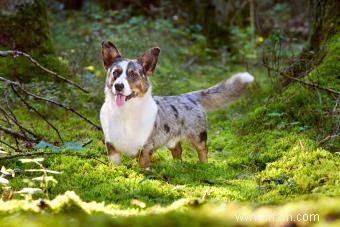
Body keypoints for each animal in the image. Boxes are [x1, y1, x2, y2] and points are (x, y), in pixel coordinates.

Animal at [99, 40, 254, 169]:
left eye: (133, 75)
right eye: (115, 73)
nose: (118, 86)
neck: (125, 112)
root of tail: (189, 96)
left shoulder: (147, 146)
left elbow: (143, 164)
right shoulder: (111, 146)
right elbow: (115, 164)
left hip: (198, 136)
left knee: (203, 150)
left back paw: (204, 167)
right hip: (172, 139)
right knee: (178, 150)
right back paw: (176, 166)